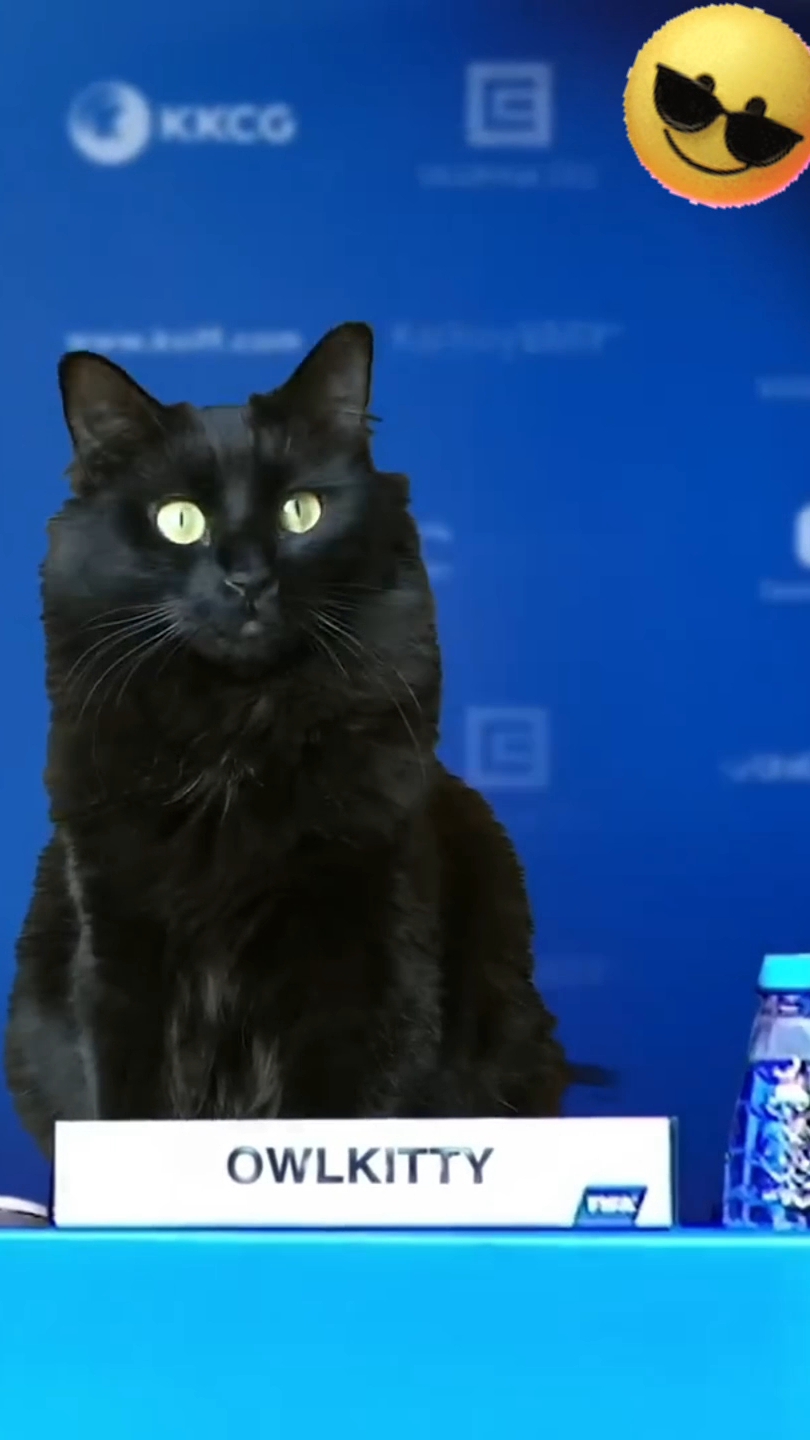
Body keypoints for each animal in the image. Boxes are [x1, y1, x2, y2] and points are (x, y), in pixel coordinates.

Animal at [5, 321, 570, 1158]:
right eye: (180, 519)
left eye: (300, 512)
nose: (247, 581)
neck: (235, 739)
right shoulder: (118, 954)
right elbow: (127, 1109)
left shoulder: (366, 960)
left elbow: (338, 1115)